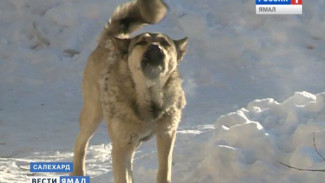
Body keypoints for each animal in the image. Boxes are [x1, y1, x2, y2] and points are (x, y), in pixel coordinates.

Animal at [71, 0, 187, 182]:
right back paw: (78, 173)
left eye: (165, 43)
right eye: (142, 42)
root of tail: (112, 39)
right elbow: (124, 176)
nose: (155, 46)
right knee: (80, 142)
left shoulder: (167, 134)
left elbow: (164, 170)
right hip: (93, 115)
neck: (149, 97)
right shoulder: (122, 146)